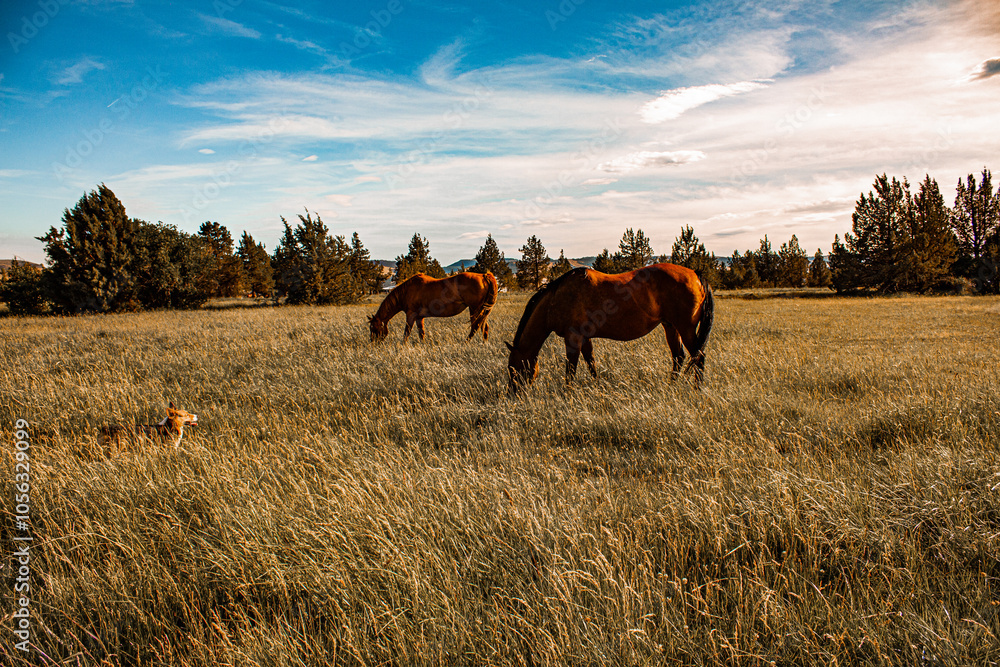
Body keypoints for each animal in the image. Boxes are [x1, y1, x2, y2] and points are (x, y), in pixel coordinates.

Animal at [369, 271, 498, 342]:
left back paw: (466, 343)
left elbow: (406, 333)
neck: (406, 292)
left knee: (475, 327)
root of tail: (484, 276)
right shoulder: (419, 317)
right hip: (482, 310)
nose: (373, 343)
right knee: (484, 327)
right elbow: (421, 333)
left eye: (373, 328)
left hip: (474, 309)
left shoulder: (411, 315)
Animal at [505, 264, 714, 393]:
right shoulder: (585, 338)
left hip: (686, 328)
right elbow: (591, 363)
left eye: (513, 369)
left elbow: (571, 369)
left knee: (698, 357)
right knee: (679, 357)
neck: (556, 299)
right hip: (671, 327)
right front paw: (597, 386)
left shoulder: (573, 338)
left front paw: (568, 394)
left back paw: (697, 390)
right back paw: (671, 386)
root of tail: (695, 273)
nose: (512, 394)